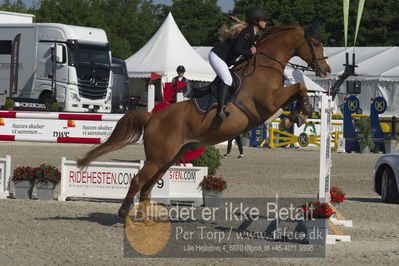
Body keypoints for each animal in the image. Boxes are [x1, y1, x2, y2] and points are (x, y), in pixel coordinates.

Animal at [77, 22, 332, 218]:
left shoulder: (274, 101)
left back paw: (146, 217)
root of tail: (152, 117)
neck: (265, 64)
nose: (327, 70)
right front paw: (302, 111)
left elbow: (297, 91)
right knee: (138, 181)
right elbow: (299, 87)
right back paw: (124, 213)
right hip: (158, 158)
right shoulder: (268, 101)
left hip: (167, 159)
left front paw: (297, 115)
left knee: (148, 187)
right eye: (316, 43)